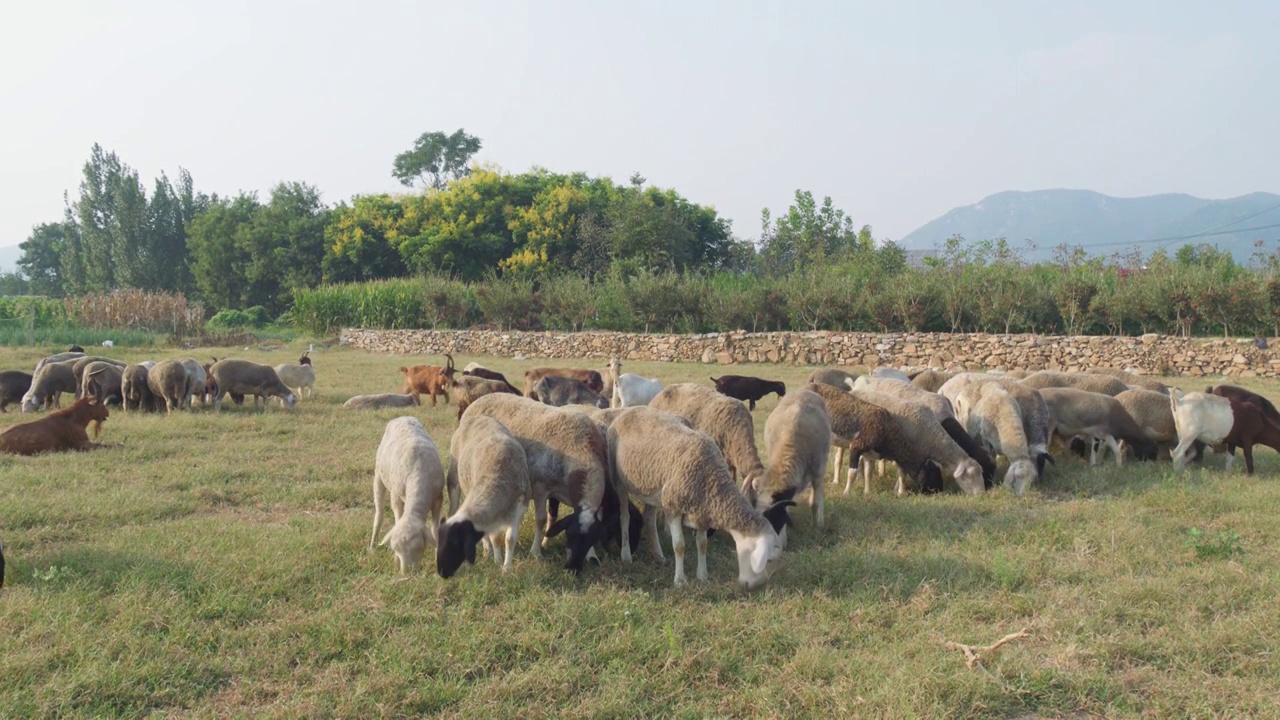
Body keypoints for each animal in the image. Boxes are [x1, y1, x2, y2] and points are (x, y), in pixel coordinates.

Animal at [368, 415, 448, 571]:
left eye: (420, 548)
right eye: (396, 550)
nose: (407, 573)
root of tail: (402, 417)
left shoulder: (438, 499)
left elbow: (435, 531)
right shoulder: (396, 497)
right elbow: (397, 519)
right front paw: (395, 561)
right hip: (379, 475)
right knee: (379, 514)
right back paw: (372, 546)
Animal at [432, 412, 527, 573]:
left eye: (454, 545)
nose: (441, 572)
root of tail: (476, 417)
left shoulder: (519, 508)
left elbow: (510, 539)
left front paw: (507, 568)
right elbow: (495, 538)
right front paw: (497, 561)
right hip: (454, 478)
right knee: (453, 508)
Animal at [463, 392, 611, 571]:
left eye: (592, 540)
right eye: (569, 536)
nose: (572, 568)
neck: (581, 450)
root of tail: (484, 397)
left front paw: (592, 556)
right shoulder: (541, 487)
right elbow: (541, 519)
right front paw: (536, 552)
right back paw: (487, 549)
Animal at [606, 407, 783, 586]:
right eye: (766, 560)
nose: (759, 586)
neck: (712, 481)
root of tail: (630, 410)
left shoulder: (702, 511)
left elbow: (702, 544)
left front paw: (703, 576)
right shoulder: (673, 507)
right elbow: (679, 546)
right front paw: (680, 580)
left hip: (651, 487)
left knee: (649, 518)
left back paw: (658, 556)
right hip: (619, 480)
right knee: (624, 517)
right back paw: (626, 556)